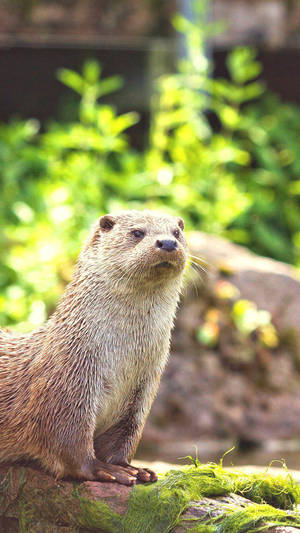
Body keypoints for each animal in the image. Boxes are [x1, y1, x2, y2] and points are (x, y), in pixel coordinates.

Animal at [0, 210, 188, 484]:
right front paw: (104, 470)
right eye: (137, 232)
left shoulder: (143, 390)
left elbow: (125, 435)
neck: (123, 357)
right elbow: (69, 442)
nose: (167, 243)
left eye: (177, 232)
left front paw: (133, 468)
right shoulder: (68, 382)